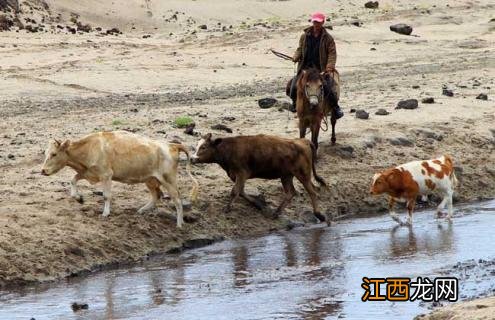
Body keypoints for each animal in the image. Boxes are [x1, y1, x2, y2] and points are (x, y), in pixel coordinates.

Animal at [40, 130, 199, 228]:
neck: (89, 148)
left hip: (168, 179)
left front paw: (105, 213)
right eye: (46, 153)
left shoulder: (106, 175)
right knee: (156, 196)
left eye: (54, 154)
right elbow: (72, 180)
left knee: (177, 200)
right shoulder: (89, 172)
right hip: (150, 179)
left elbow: (106, 196)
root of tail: (172, 145)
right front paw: (78, 198)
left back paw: (179, 224)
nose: (42, 171)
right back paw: (141, 211)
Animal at [191, 134, 330, 221]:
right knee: (291, 192)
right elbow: (241, 191)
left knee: (312, 192)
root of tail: (303, 140)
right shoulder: (237, 176)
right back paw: (276, 213)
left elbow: (235, 191)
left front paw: (227, 208)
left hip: (303, 174)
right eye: (196, 146)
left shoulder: (241, 173)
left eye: (203, 147)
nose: (192, 158)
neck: (229, 149)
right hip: (286, 175)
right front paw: (258, 204)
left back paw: (319, 215)